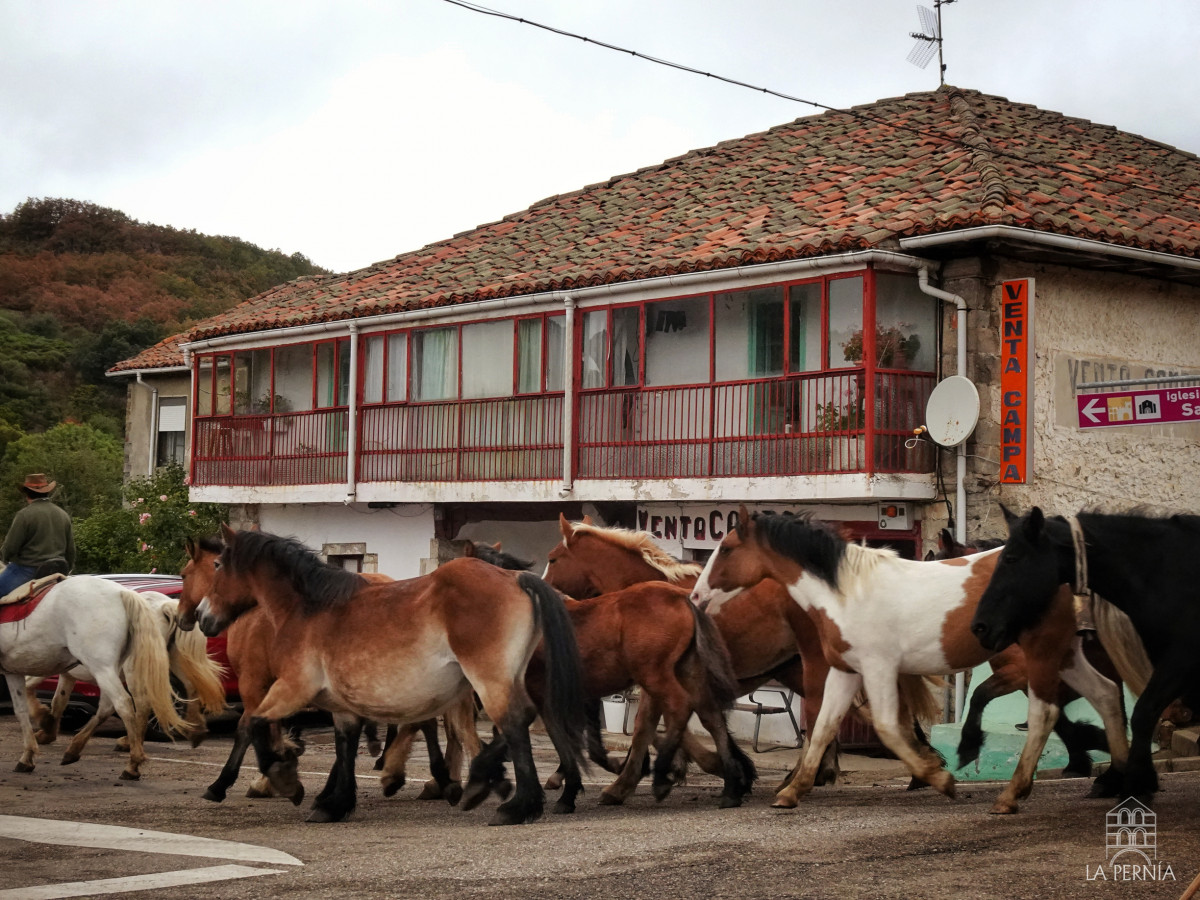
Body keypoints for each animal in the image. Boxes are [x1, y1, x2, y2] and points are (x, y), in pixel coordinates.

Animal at [0, 578, 187, 782]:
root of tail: (122, 593)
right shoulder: (32, 670)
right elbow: (47, 702)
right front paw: (40, 738)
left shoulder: (39, 668)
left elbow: (31, 696)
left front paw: (44, 723)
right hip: (111, 669)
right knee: (113, 705)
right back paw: (77, 748)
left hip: (110, 668)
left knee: (127, 703)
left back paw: (132, 762)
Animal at [691, 508, 1128, 816]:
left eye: (726, 549)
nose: (696, 595)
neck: (846, 590)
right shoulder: (846, 671)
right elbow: (824, 727)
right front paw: (792, 791)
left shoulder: (879, 668)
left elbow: (888, 728)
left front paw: (939, 778)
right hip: (1065, 655)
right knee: (1106, 695)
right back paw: (1120, 776)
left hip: (1041, 655)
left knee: (1045, 715)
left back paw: (1011, 794)